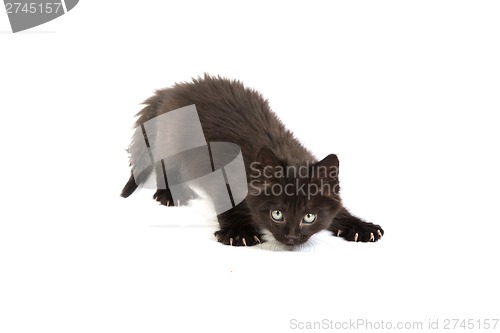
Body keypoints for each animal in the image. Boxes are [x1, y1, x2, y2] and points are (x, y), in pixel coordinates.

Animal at [121, 76, 382, 246]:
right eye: (277, 214)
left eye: (309, 217)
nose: (291, 238)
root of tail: (172, 89)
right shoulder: (221, 173)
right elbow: (228, 202)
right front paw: (239, 232)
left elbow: (339, 209)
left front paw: (361, 227)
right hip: (174, 140)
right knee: (165, 163)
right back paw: (169, 193)